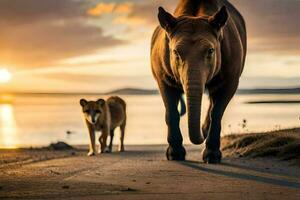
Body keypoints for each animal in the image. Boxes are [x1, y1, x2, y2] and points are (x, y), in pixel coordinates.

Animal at [150, 0, 246, 163]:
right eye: (175, 52)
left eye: (211, 51)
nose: (201, 133)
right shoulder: (162, 75)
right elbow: (172, 111)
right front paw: (175, 154)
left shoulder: (232, 77)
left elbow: (217, 112)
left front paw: (211, 155)